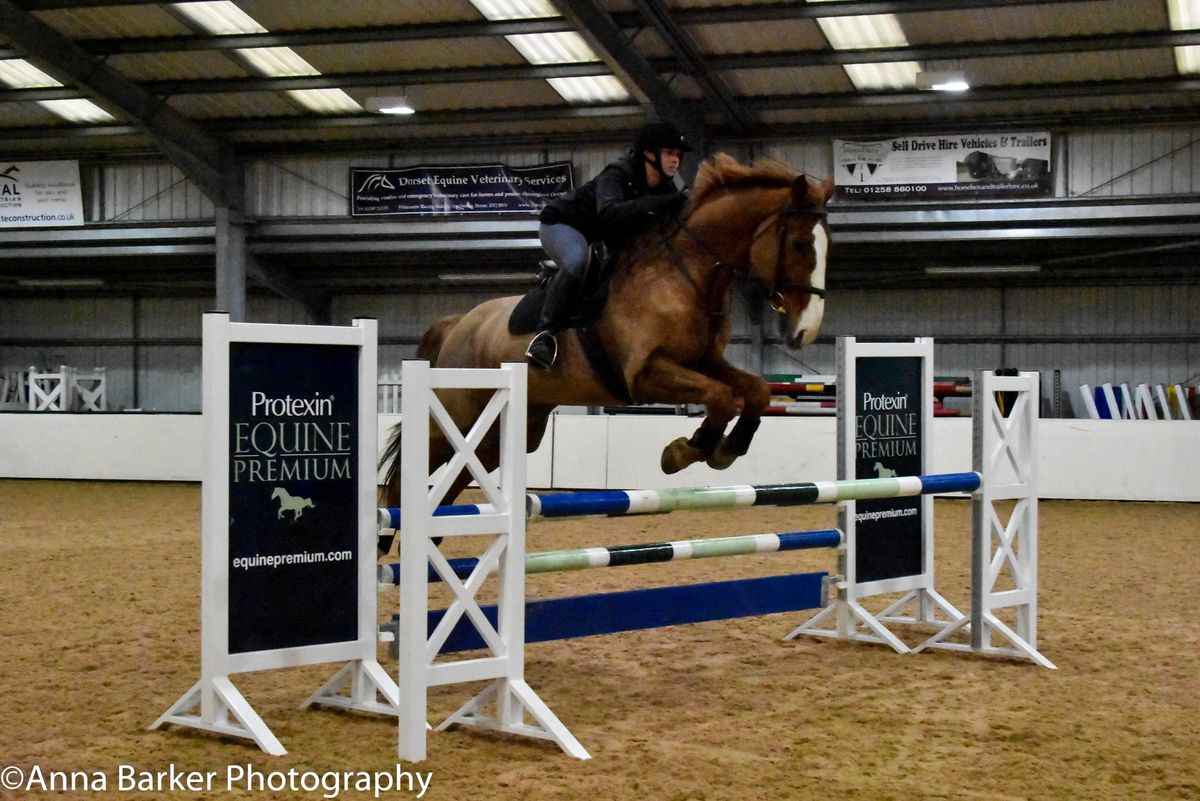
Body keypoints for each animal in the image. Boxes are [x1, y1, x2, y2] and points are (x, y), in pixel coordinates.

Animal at [381, 154, 835, 520]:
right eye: (799, 244)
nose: (806, 330)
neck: (686, 275)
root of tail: (458, 324)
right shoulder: (647, 374)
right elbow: (720, 398)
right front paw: (683, 452)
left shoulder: (704, 362)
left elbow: (755, 391)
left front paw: (725, 449)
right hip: (456, 416)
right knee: (407, 476)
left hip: (503, 433)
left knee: (451, 485)